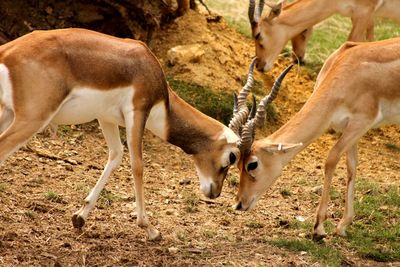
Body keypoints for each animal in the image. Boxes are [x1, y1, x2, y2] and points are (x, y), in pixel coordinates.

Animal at [0, 28, 255, 241]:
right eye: (232, 157)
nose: (215, 192)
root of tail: (8, 52)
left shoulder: (106, 118)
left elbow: (115, 155)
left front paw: (80, 217)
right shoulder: (137, 112)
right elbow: (137, 165)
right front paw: (150, 229)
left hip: (7, 113)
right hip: (32, 119)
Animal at [234, 37, 400, 239]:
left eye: (253, 164)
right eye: (238, 164)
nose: (239, 203)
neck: (347, 71)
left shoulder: (361, 122)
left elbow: (331, 160)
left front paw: (319, 227)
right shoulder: (348, 128)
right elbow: (351, 167)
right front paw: (343, 226)